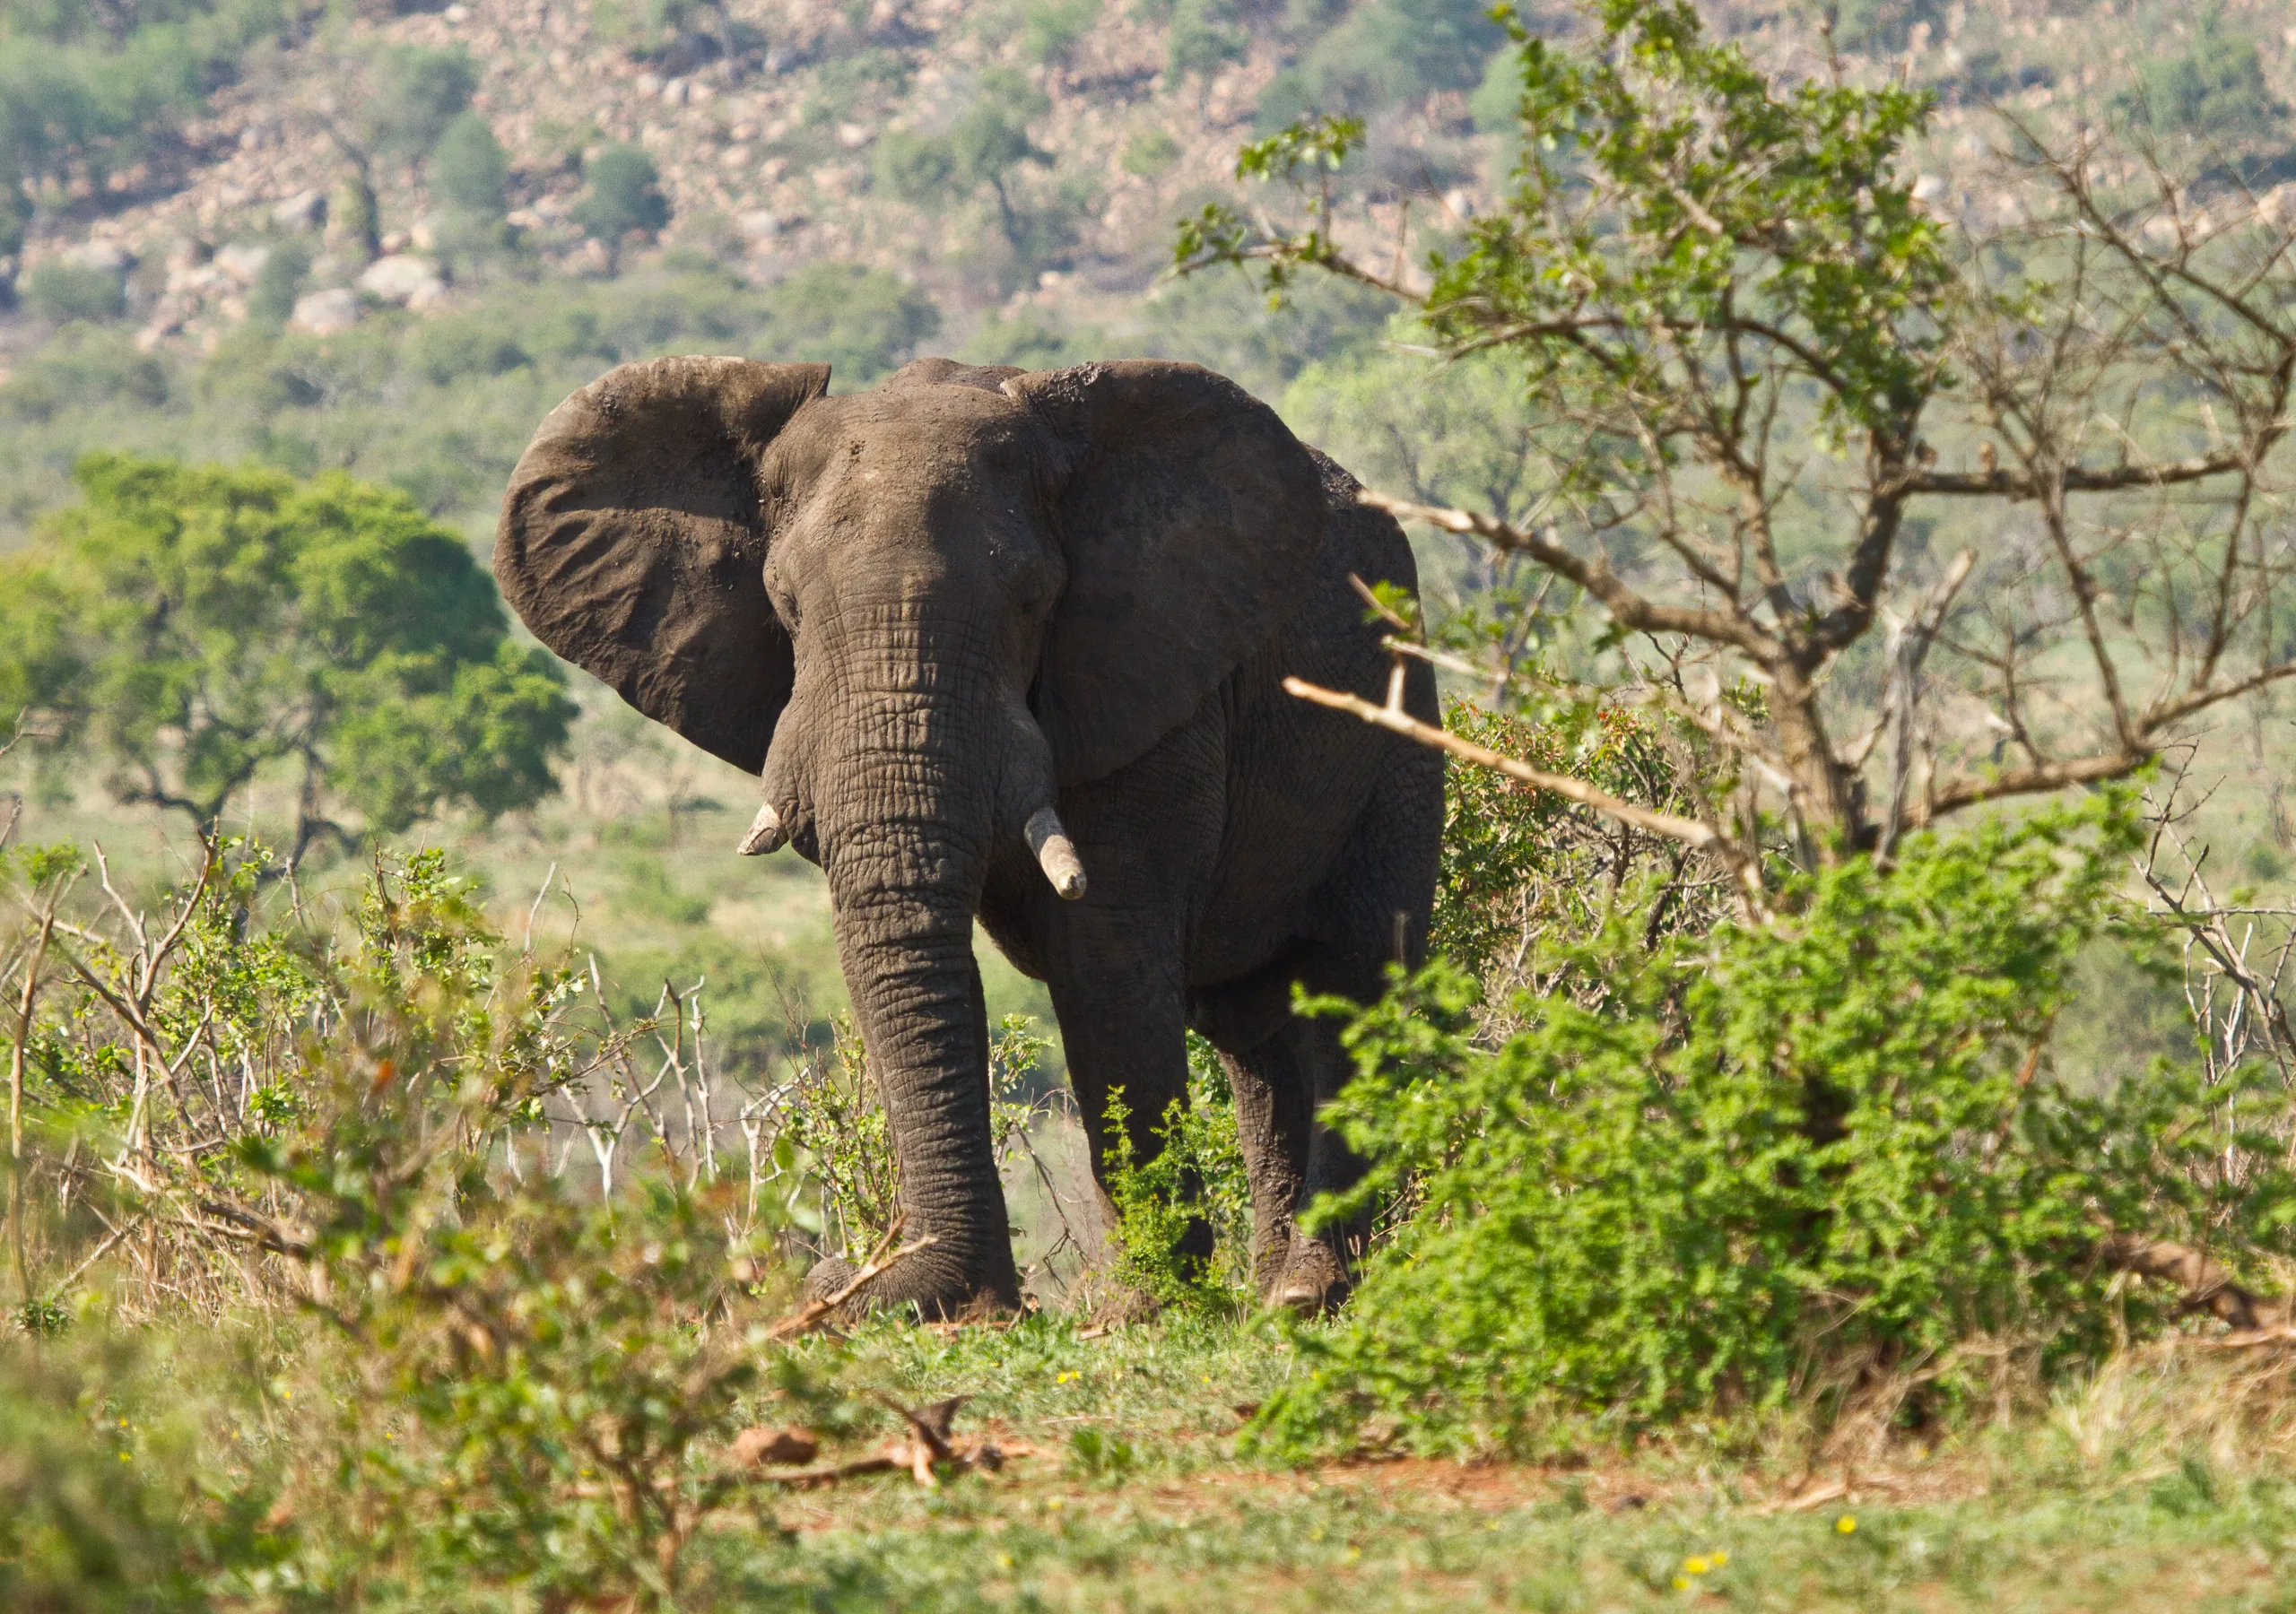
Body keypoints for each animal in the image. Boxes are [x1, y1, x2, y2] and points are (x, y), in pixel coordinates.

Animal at [493, 353, 1442, 1317]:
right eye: (784, 606)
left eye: (1030, 602)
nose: (842, 1288)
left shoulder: (1149, 685)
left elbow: (1107, 967)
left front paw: (1147, 1310)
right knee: (1251, 1026)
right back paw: (1274, 1291)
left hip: (1400, 721)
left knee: (1354, 978)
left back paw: (1305, 1294)